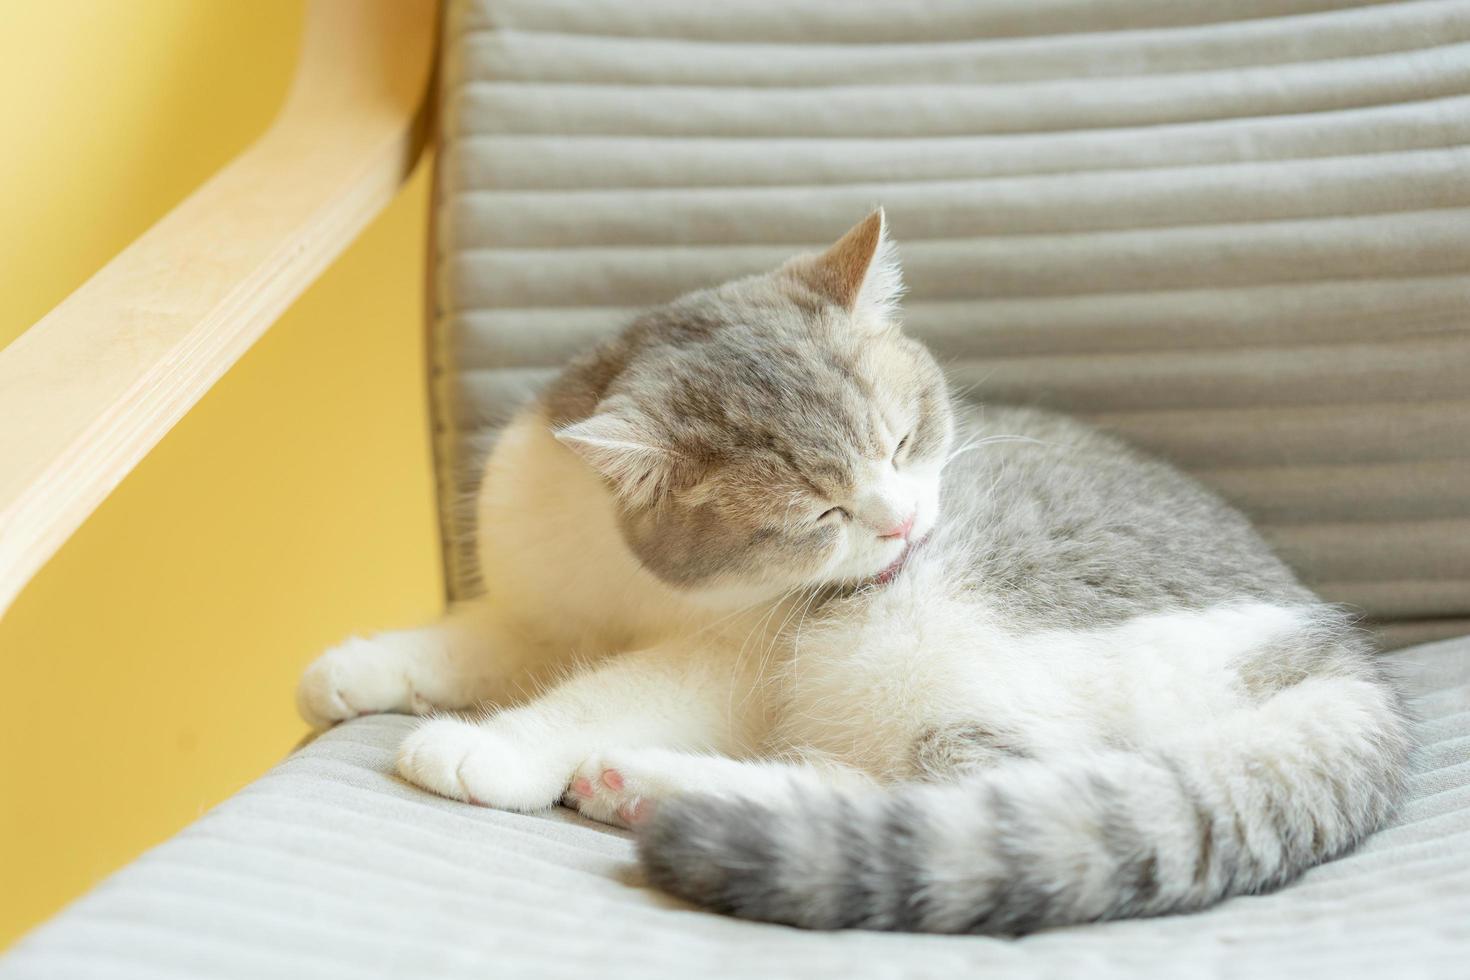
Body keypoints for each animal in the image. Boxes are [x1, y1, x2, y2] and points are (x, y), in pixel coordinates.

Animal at [292, 208, 1405, 934]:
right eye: (818, 511)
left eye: (906, 440)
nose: (903, 522)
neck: (628, 578)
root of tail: (1335, 653)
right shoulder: (541, 608)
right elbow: (472, 640)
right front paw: (358, 668)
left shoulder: (737, 655)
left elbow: (603, 691)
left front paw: (492, 745)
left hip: (908, 635)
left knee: (976, 784)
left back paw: (656, 783)